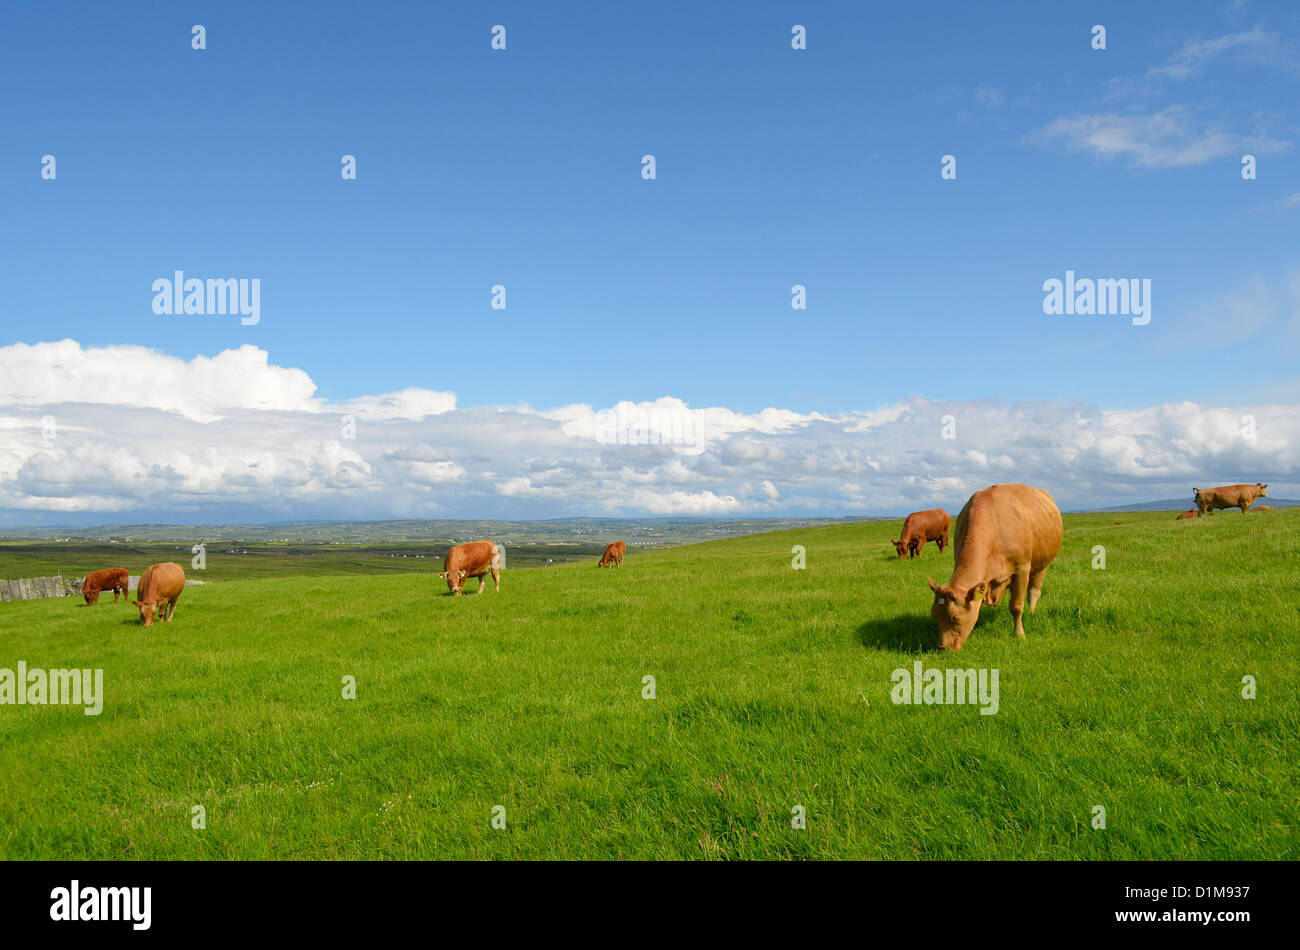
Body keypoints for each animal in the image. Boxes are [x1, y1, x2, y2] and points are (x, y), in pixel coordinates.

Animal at [927, 483, 1063, 651]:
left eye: (955, 617)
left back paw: (1031, 612)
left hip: (1042, 564)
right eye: (934, 614)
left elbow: (1016, 606)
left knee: (1034, 591)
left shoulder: (1022, 569)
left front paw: (1019, 634)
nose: (942, 647)